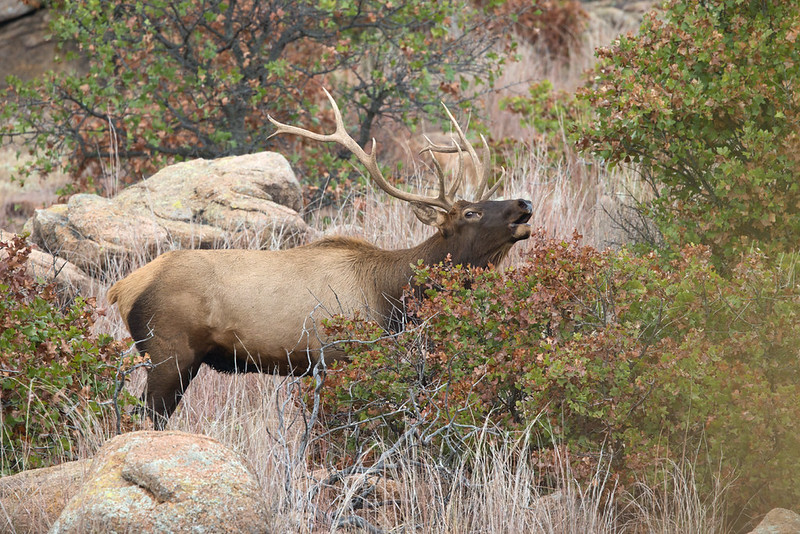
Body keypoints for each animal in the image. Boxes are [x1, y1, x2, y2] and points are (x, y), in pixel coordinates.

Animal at [107, 89, 533, 429]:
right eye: (470, 213)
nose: (524, 204)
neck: (393, 300)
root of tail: (121, 288)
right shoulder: (335, 354)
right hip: (168, 353)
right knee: (144, 416)